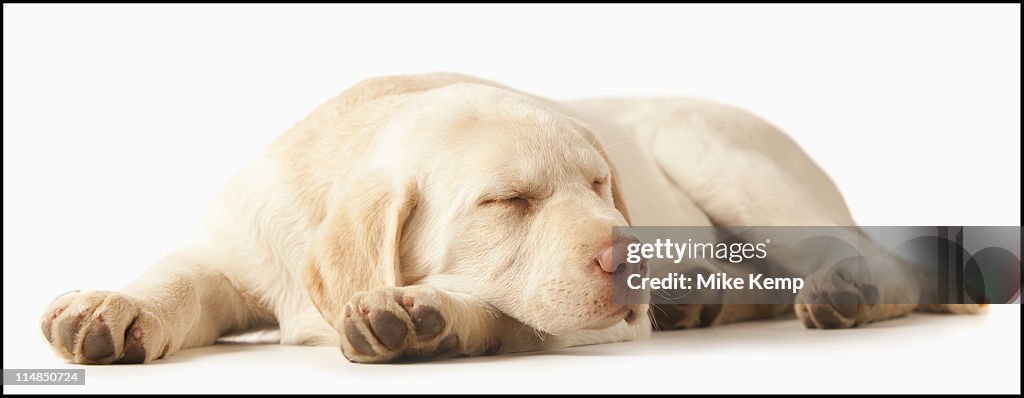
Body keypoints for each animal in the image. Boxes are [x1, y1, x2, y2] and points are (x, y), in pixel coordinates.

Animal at [41, 72, 983, 362]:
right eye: (507, 203)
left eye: (602, 186)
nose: (634, 264)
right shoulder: (236, 241)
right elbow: (175, 276)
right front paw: (110, 307)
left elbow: (508, 311)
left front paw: (425, 314)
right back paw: (701, 302)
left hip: (715, 154)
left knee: (877, 262)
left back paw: (846, 292)